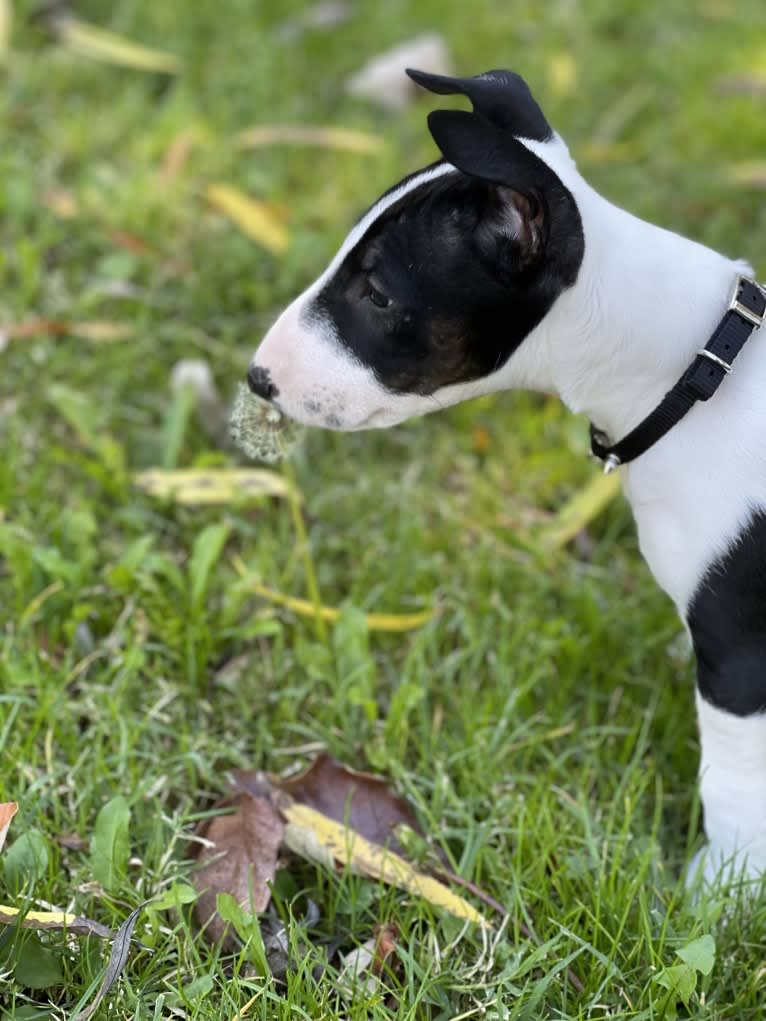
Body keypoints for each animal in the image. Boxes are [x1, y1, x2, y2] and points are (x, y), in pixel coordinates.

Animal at [250, 69, 766, 886]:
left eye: (379, 295)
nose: (258, 376)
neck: (698, 373)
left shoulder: (738, 655)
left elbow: (735, 786)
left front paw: (724, 889)